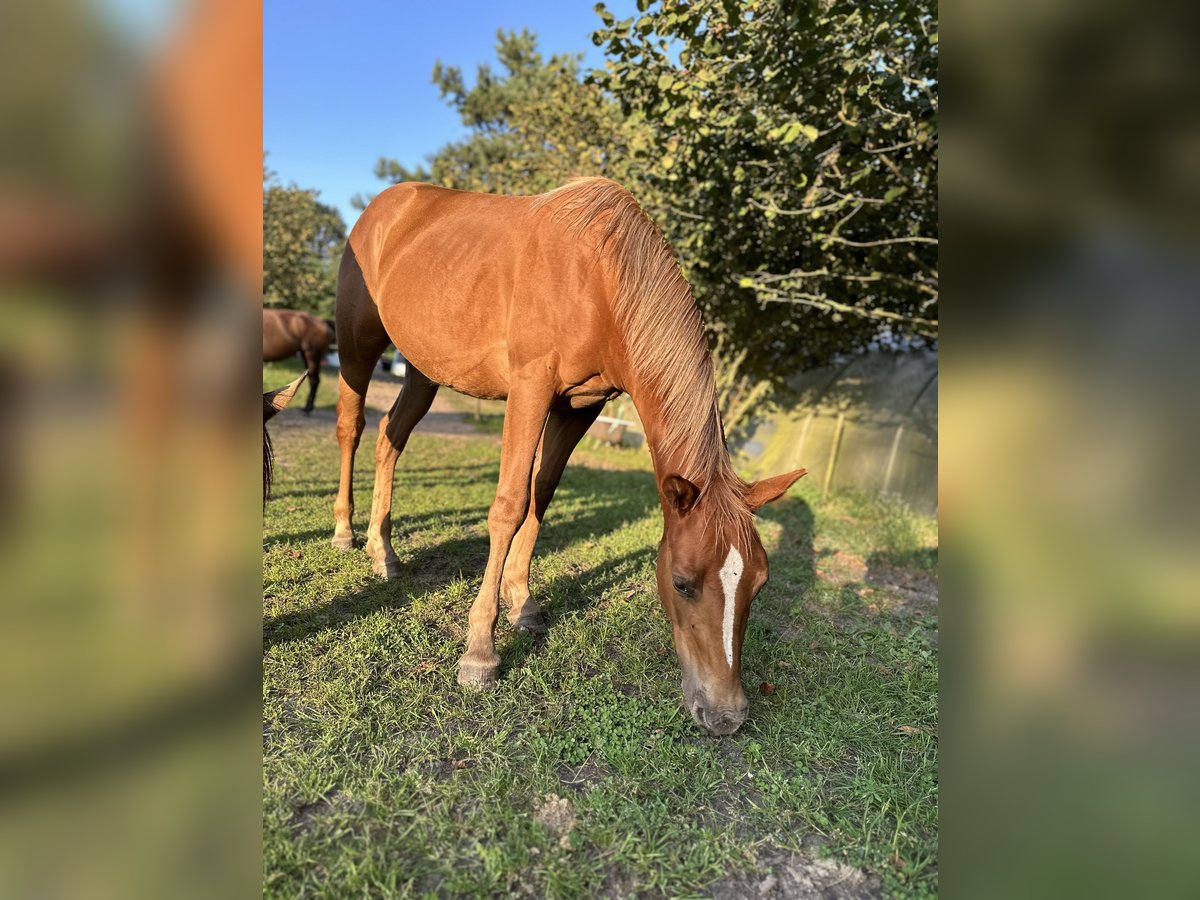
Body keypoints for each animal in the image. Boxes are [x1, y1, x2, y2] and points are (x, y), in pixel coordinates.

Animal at [333, 177, 811, 734]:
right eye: (682, 583)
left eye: (759, 583)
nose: (725, 715)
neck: (599, 278)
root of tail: (384, 206)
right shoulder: (530, 386)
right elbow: (509, 505)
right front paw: (480, 652)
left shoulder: (580, 405)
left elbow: (541, 494)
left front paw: (523, 602)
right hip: (357, 347)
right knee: (352, 428)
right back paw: (345, 532)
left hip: (423, 369)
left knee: (390, 438)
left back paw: (382, 550)